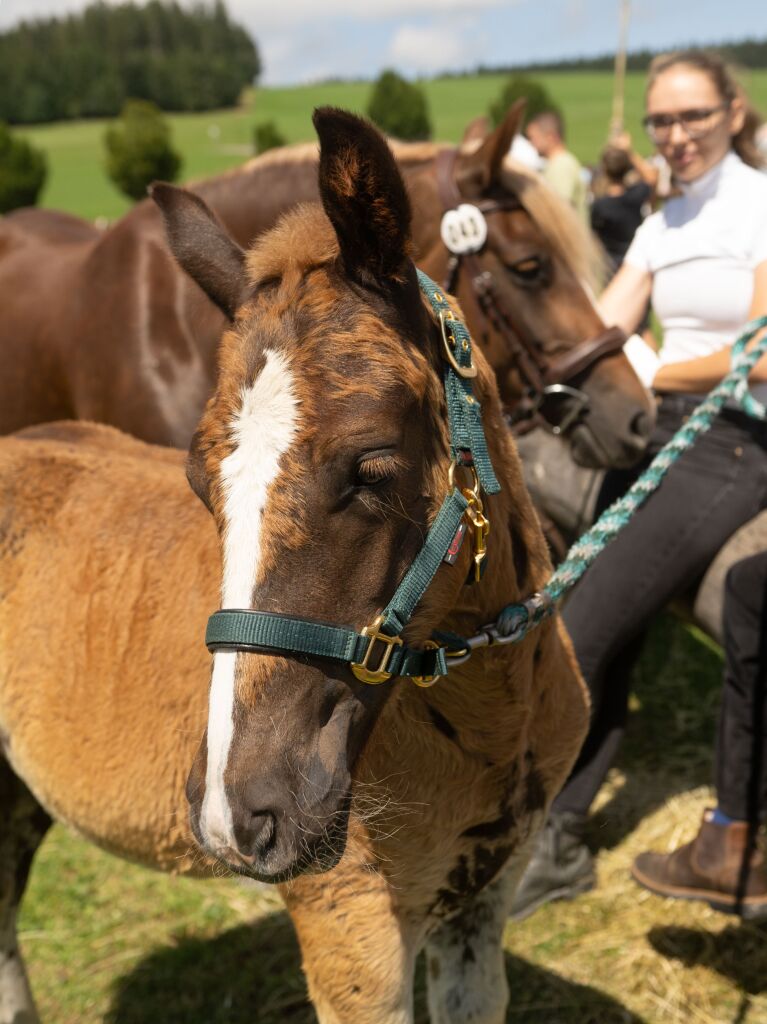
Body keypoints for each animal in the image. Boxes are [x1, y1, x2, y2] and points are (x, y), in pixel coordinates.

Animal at [0, 112, 589, 1024]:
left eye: (372, 468)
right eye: (198, 481)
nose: (236, 813)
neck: (493, 720)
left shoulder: (481, 900)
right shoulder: (352, 927)